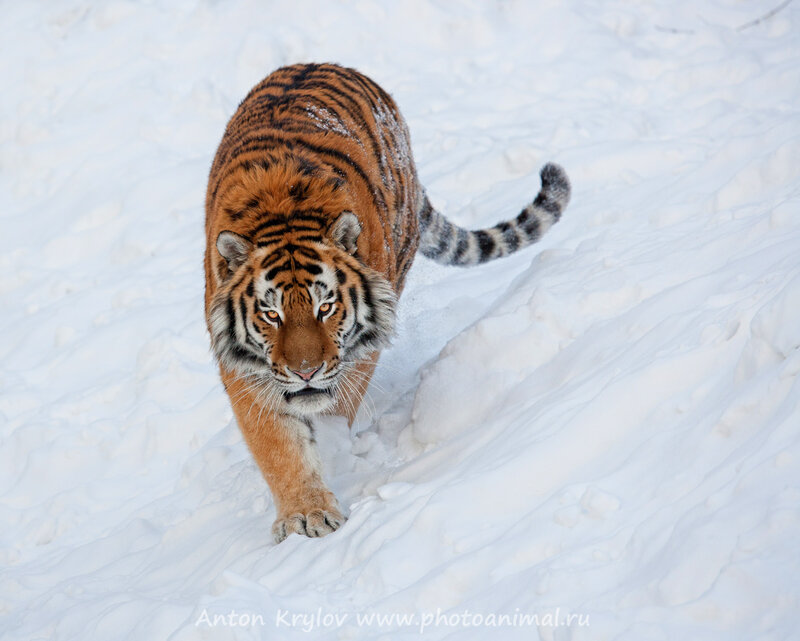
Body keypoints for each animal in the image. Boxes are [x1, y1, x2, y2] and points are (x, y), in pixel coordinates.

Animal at [204, 63, 570, 543]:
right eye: (271, 314)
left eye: (325, 307)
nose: (305, 372)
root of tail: (323, 62)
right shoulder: (245, 369)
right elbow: (278, 447)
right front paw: (305, 514)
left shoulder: (357, 350)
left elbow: (336, 402)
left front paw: (331, 452)